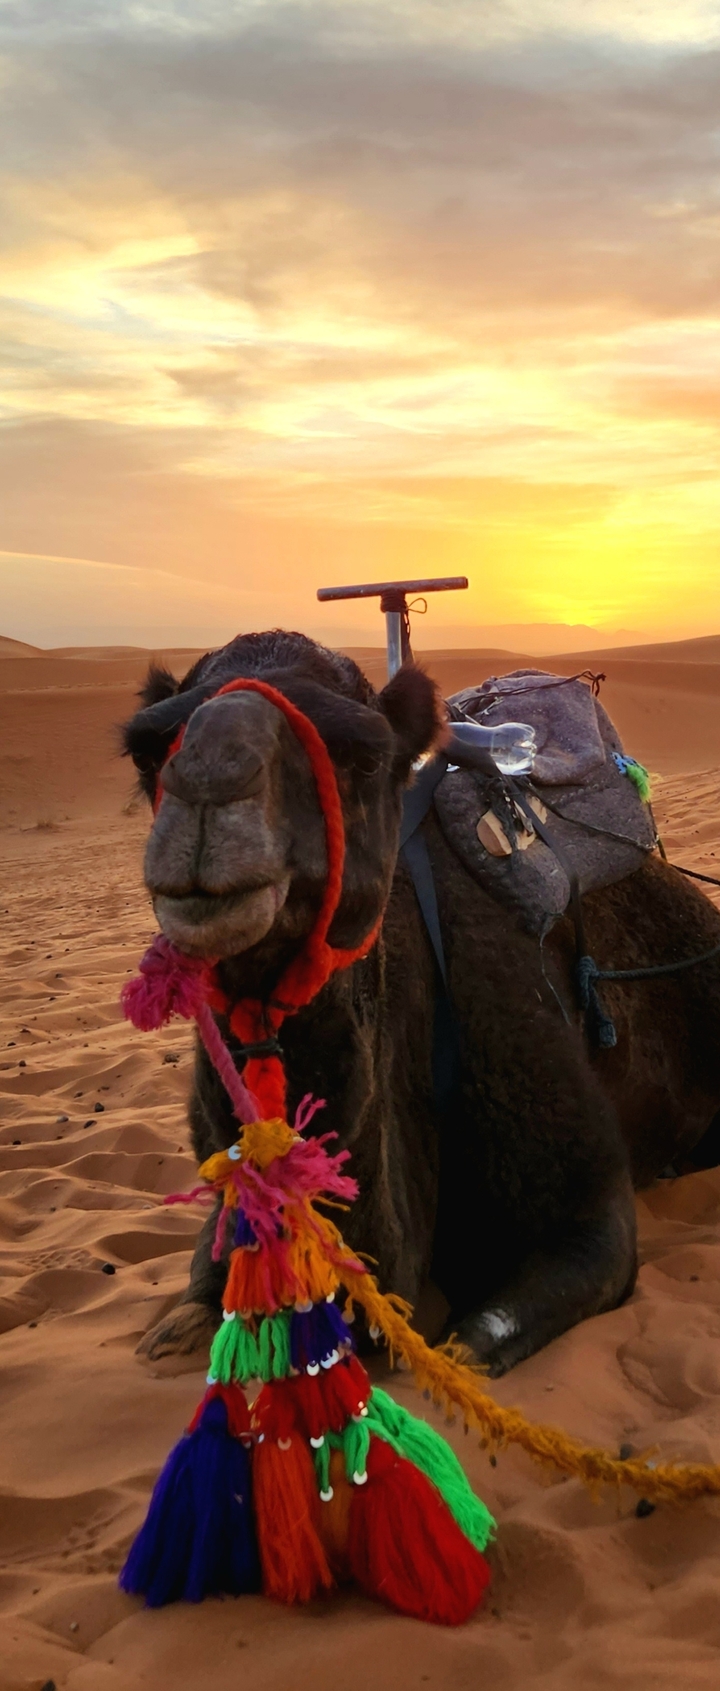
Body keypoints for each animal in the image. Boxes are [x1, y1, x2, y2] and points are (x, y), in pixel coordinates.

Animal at [122, 631, 720, 1377]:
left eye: (365, 754)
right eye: (146, 749)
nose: (209, 779)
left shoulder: (584, 1193)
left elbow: (468, 1345)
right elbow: (193, 1301)